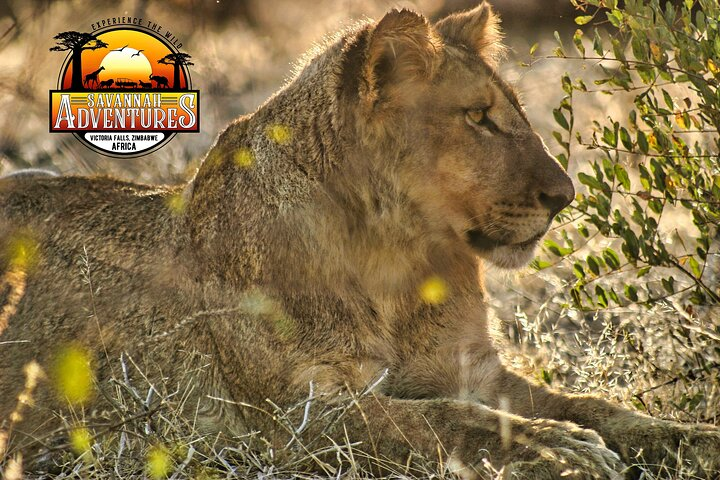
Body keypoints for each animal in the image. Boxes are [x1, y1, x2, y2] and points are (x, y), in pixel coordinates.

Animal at [1, 2, 719, 478]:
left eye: (511, 111)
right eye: (479, 118)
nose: (564, 196)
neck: (398, 258)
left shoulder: (474, 372)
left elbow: (597, 405)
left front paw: (691, 436)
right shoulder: (296, 415)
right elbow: (443, 421)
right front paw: (560, 448)